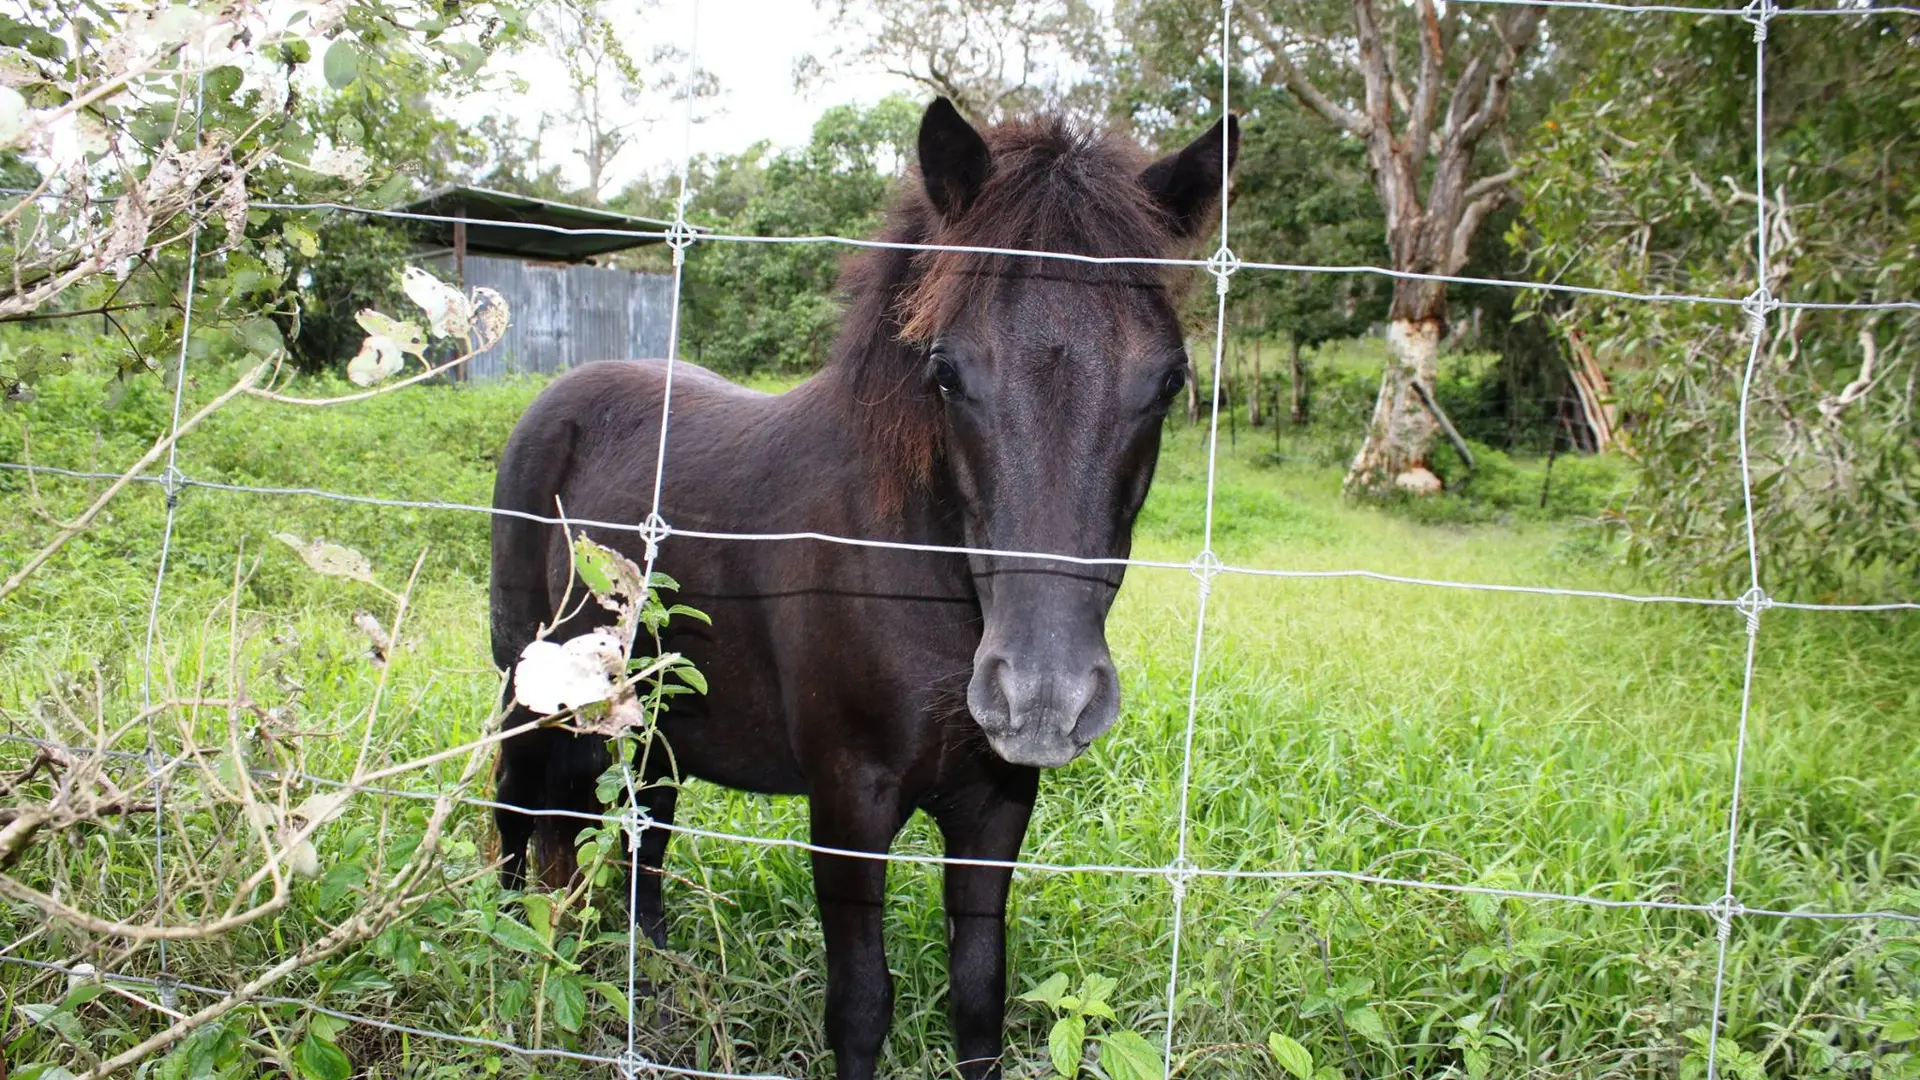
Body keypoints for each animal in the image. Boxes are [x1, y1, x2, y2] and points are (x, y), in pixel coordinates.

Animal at [491, 96, 1244, 1068]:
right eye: (948, 371)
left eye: (1167, 380)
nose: (1042, 697)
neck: (923, 586)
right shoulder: (848, 804)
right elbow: (860, 1005)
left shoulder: (996, 805)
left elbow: (980, 997)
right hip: (528, 690)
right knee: (514, 823)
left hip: (657, 714)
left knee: (643, 842)